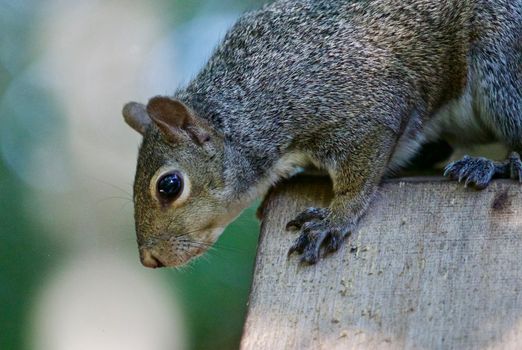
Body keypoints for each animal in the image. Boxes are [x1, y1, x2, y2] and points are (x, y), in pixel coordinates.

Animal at [123, 0, 520, 268]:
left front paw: (334, 219)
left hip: (501, 62)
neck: (253, 105)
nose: (150, 259)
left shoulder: (365, 108)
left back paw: (492, 166)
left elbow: (358, 179)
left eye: (169, 186)